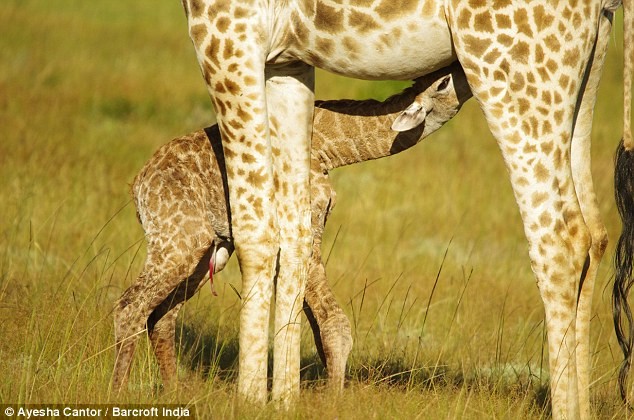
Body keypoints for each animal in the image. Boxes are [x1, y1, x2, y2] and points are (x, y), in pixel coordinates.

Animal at [112, 63, 470, 394]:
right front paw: (333, 401)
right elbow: (333, 324)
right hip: (179, 238)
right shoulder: (303, 224)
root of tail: (138, 186)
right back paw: (116, 391)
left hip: (207, 252)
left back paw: (175, 390)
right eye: (443, 82)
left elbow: (312, 323)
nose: (464, 68)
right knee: (130, 306)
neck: (328, 147)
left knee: (161, 316)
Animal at [179, 0, 632, 416]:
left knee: (558, 240)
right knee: (593, 235)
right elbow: (294, 235)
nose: (447, 74)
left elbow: (256, 232)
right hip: (585, 67)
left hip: (511, 62)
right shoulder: (288, 60)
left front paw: (250, 401)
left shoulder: (225, 28)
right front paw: (284, 401)